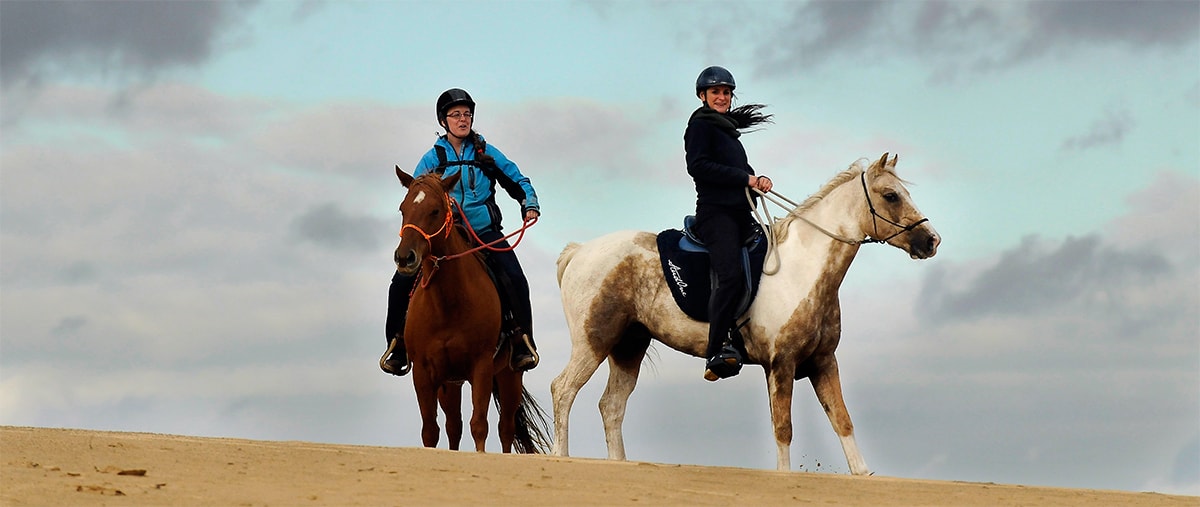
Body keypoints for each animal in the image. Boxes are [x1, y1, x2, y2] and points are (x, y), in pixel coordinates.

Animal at [393, 166, 549, 456]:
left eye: (435, 210)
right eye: (402, 209)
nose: (405, 258)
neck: (447, 305)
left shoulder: (482, 366)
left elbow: (480, 425)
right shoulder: (424, 372)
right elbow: (430, 430)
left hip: (509, 377)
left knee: (506, 428)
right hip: (449, 384)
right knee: (454, 426)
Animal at [549, 152, 936, 473]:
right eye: (891, 195)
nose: (932, 240)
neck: (803, 269)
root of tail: (580, 251)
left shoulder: (823, 362)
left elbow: (842, 420)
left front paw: (863, 474)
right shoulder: (781, 364)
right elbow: (783, 428)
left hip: (629, 346)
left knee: (611, 406)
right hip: (593, 342)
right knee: (563, 390)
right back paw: (561, 457)